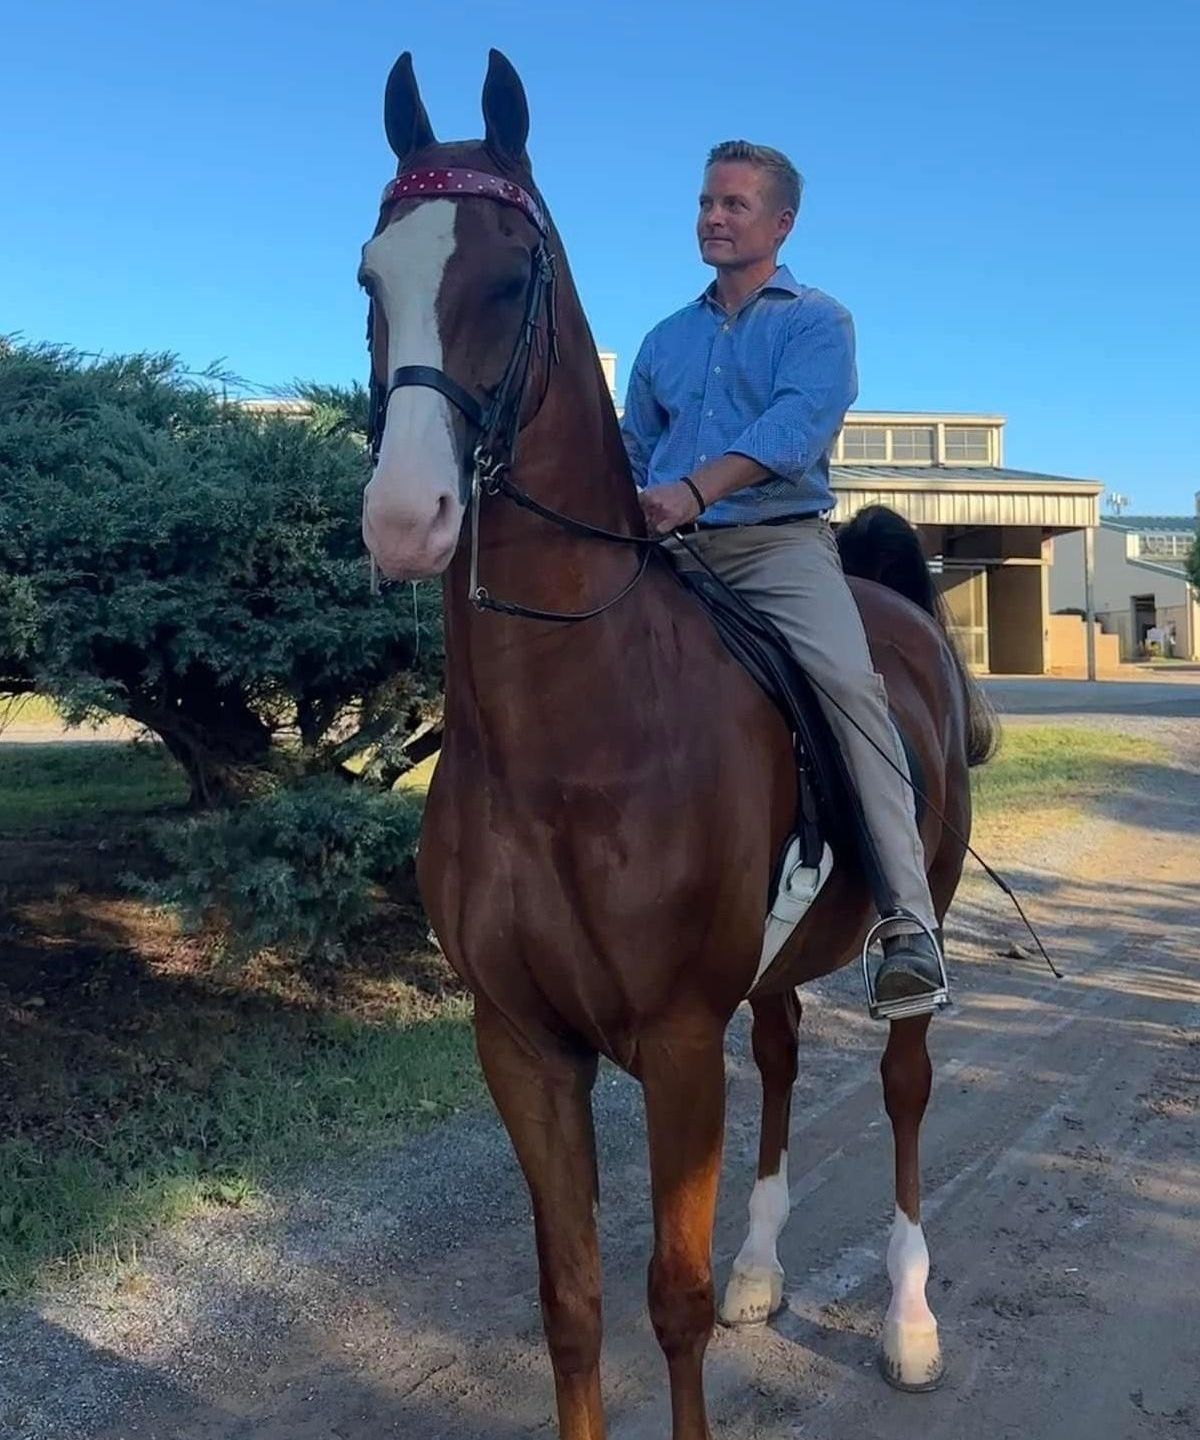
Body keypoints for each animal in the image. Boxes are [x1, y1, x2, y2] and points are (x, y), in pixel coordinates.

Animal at [360, 47, 996, 1440]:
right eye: (370, 277)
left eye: (508, 274)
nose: (405, 516)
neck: (569, 736)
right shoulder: (523, 1044)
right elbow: (574, 1304)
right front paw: (720, 1280)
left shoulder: (672, 1040)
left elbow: (673, 1301)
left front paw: (749, 1299)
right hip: (763, 976)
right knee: (785, 1051)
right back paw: (769, 1270)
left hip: (913, 930)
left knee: (904, 1092)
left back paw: (911, 1324)